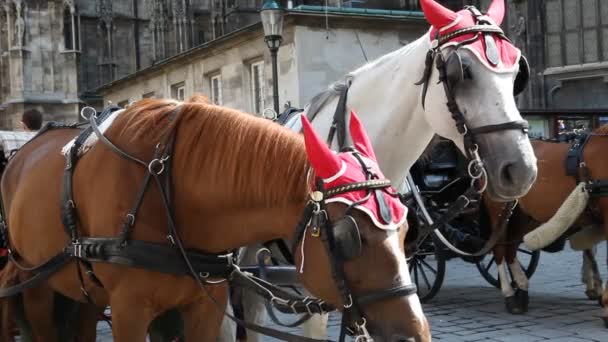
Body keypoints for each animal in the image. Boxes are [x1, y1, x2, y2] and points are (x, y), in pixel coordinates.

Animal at [0, 97, 430, 342]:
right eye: (347, 237)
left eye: (407, 230)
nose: (415, 335)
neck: (166, 189)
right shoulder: (128, 310)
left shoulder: (205, 308)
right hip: (35, 284)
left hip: (84, 290)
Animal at [486, 125, 608, 324]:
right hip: (499, 211)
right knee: (499, 249)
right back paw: (510, 294)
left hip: (521, 215)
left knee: (511, 249)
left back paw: (522, 290)